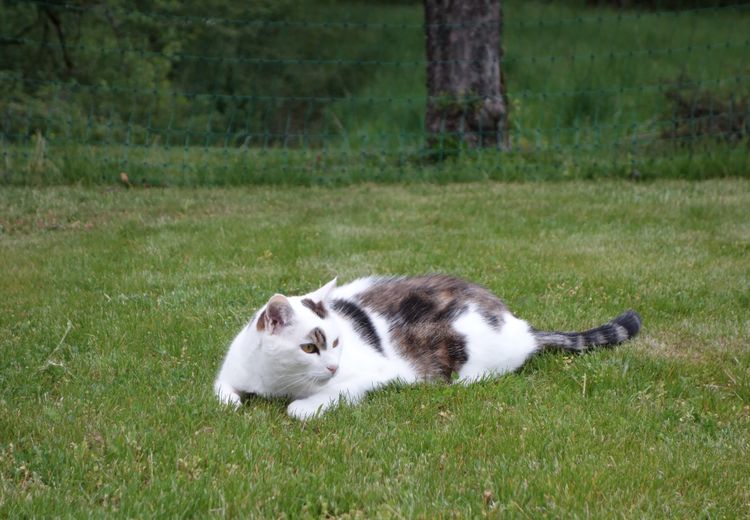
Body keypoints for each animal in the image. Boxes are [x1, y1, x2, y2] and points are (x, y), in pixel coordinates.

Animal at [214, 274, 644, 420]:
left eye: (336, 343)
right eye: (309, 348)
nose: (333, 366)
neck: (276, 383)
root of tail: (521, 325)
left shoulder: (377, 373)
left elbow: (302, 408)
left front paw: (303, 406)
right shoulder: (229, 373)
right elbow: (223, 395)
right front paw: (235, 403)